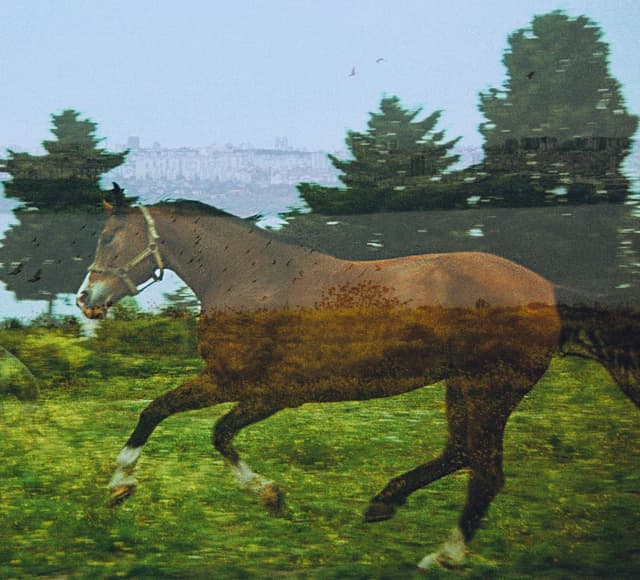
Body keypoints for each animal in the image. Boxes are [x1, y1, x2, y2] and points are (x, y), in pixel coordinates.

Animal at [76, 199, 639, 570]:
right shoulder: (246, 387)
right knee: (460, 453)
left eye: (108, 236)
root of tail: (546, 288)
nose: (86, 299)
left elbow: (190, 423)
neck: (252, 279)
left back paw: (444, 555)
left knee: (485, 473)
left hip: (489, 387)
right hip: (464, 386)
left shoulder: (260, 389)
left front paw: (122, 486)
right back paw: (383, 503)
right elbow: (178, 418)